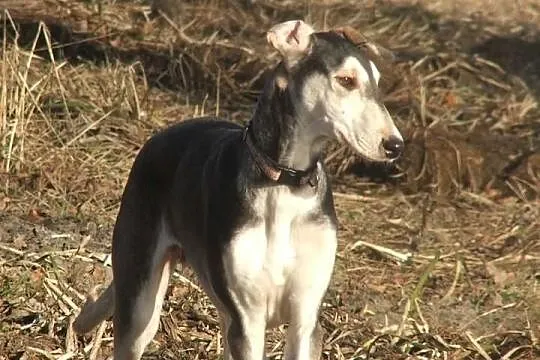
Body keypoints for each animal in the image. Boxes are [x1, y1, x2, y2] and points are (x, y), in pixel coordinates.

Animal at [70, 20, 400, 360]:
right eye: (346, 80)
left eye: (377, 83)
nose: (395, 145)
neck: (284, 185)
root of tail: (158, 137)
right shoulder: (248, 320)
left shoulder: (305, 319)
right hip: (140, 307)